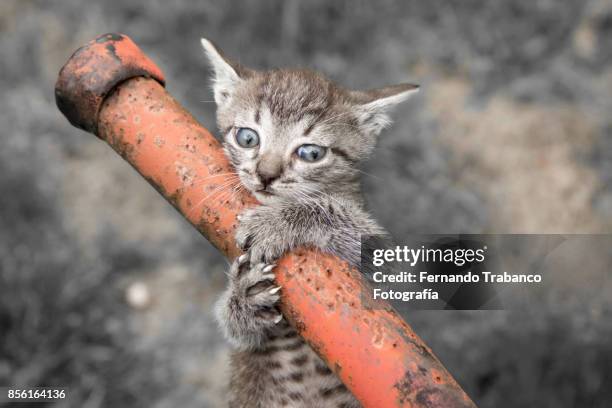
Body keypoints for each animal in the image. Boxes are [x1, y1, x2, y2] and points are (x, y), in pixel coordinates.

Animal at [203, 39, 418, 408]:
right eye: (247, 138)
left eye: (311, 154)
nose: (266, 175)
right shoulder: (248, 349)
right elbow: (237, 331)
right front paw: (243, 297)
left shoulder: (387, 270)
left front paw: (277, 222)